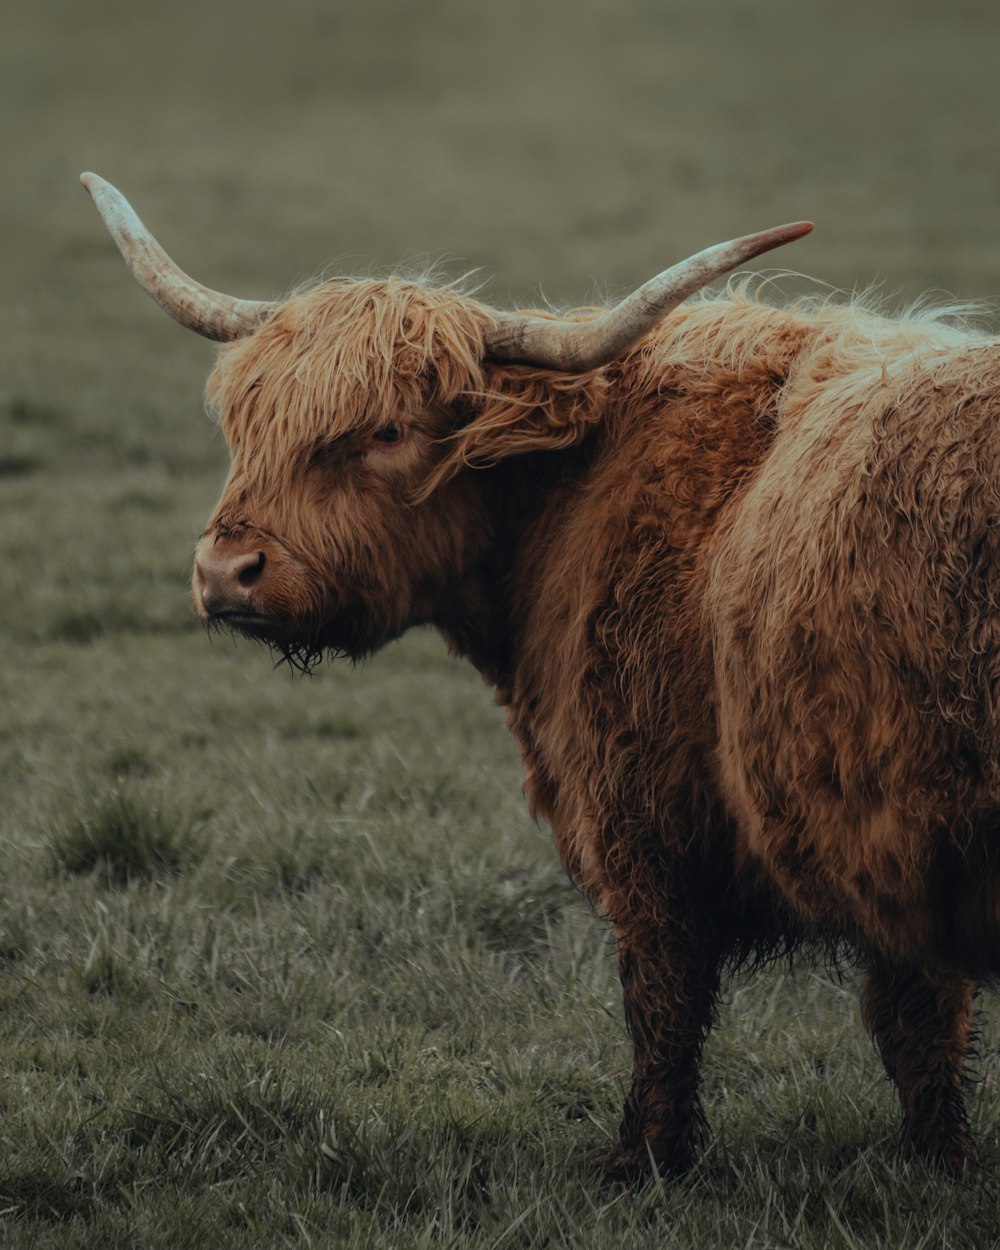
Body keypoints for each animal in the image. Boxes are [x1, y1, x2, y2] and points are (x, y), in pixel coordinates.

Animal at [86, 171, 1000, 1175]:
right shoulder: (897, 858)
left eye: (387, 430)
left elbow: (667, 1010)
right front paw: (943, 1164)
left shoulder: (650, 824)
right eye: (245, 425)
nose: (224, 573)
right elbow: (920, 1033)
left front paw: (642, 1165)